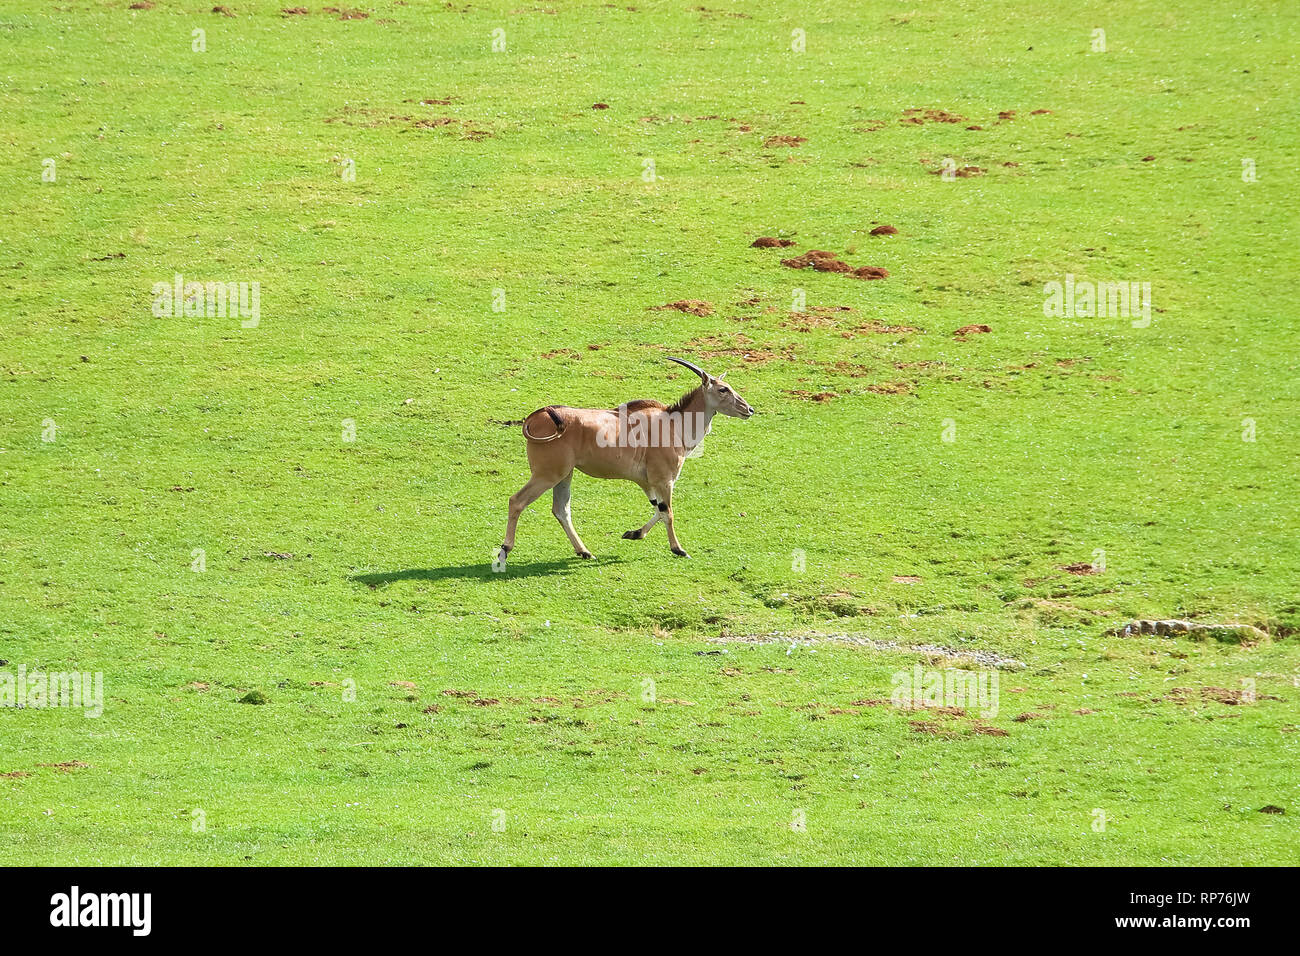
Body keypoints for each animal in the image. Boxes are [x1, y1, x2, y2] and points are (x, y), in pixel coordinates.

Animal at [493, 358, 759, 567]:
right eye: (723, 389)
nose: (749, 409)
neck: (674, 423)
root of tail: (541, 414)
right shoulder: (664, 480)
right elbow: (669, 513)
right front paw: (679, 549)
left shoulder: (648, 483)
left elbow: (658, 510)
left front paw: (633, 533)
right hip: (547, 475)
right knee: (517, 501)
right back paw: (505, 550)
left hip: (564, 475)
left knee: (561, 509)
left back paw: (585, 551)